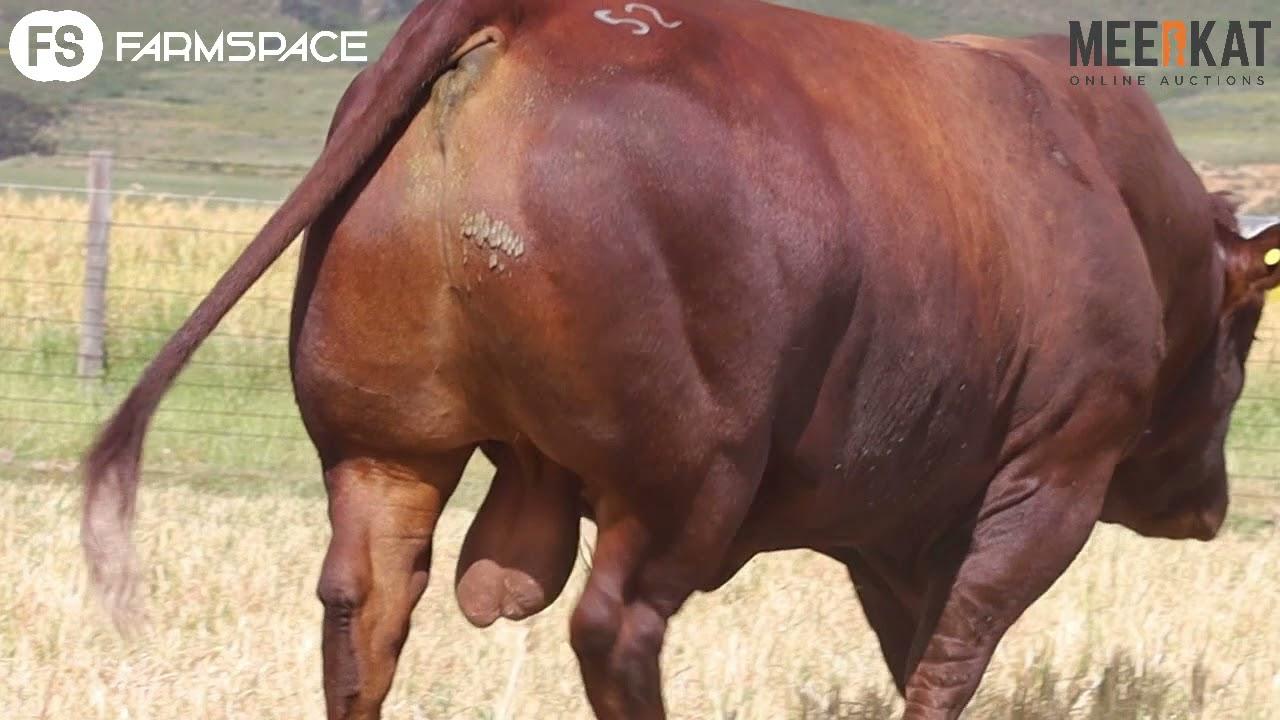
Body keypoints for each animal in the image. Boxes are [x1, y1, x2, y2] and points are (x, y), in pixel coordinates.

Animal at [80, 1, 1280, 719]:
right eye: (1244, 335)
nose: (1210, 503)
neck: (1114, 194)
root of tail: (524, 19)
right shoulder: (1052, 473)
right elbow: (957, 644)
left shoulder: (892, 515)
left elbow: (915, 637)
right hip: (684, 476)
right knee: (615, 625)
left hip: (382, 447)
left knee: (364, 605)